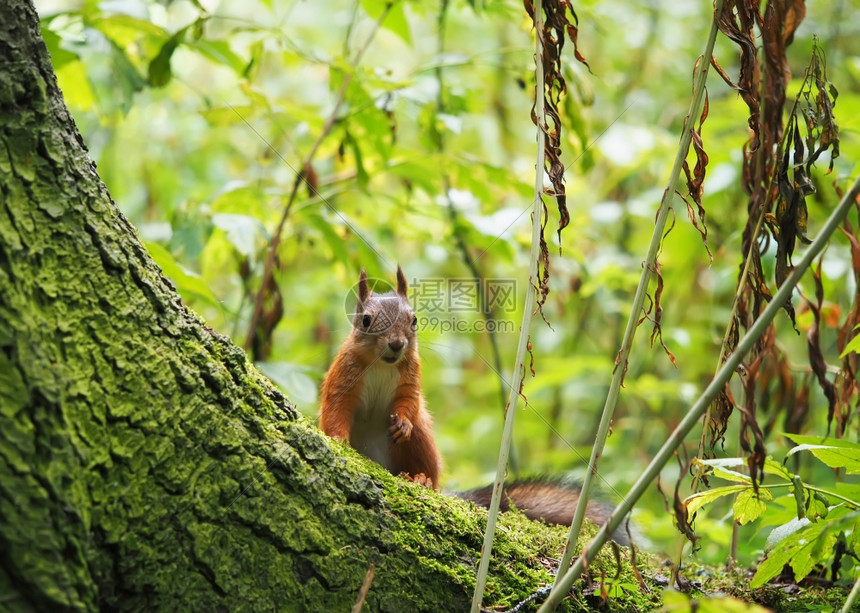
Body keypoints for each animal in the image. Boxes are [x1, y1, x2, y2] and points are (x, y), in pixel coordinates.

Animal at [320, 268, 440, 488]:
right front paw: (338, 439)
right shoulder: (343, 375)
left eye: (414, 320)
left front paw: (403, 423)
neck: (382, 365)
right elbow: (336, 408)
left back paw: (422, 478)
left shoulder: (410, 376)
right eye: (366, 320)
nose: (396, 344)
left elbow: (409, 400)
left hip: (421, 436)